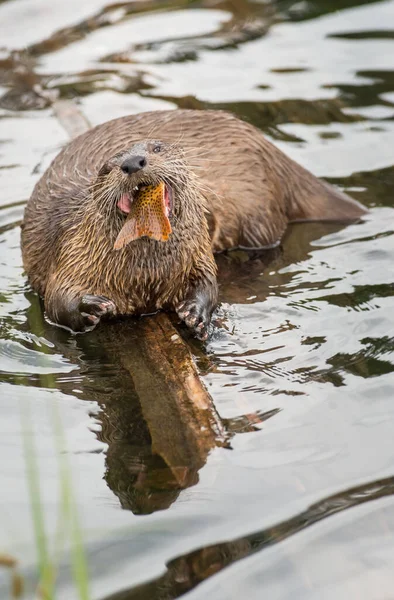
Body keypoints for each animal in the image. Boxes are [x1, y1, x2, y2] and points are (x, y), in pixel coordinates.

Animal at [21, 110, 366, 340]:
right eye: (106, 167)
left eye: (157, 148)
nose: (132, 162)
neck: (146, 275)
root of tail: (269, 150)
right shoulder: (72, 254)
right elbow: (56, 298)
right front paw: (88, 307)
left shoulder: (197, 254)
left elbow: (209, 282)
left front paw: (195, 313)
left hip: (257, 210)